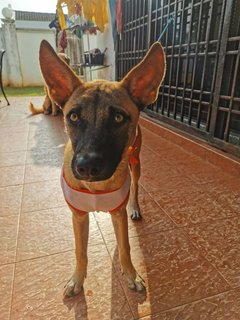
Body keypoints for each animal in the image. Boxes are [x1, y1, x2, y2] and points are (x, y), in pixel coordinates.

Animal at [39, 40, 167, 298]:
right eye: (73, 117)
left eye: (118, 117)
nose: (87, 166)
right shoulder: (78, 216)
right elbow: (80, 251)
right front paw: (77, 279)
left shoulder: (118, 213)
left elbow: (126, 248)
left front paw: (131, 275)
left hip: (136, 164)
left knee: (135, 188)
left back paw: (135, 208)